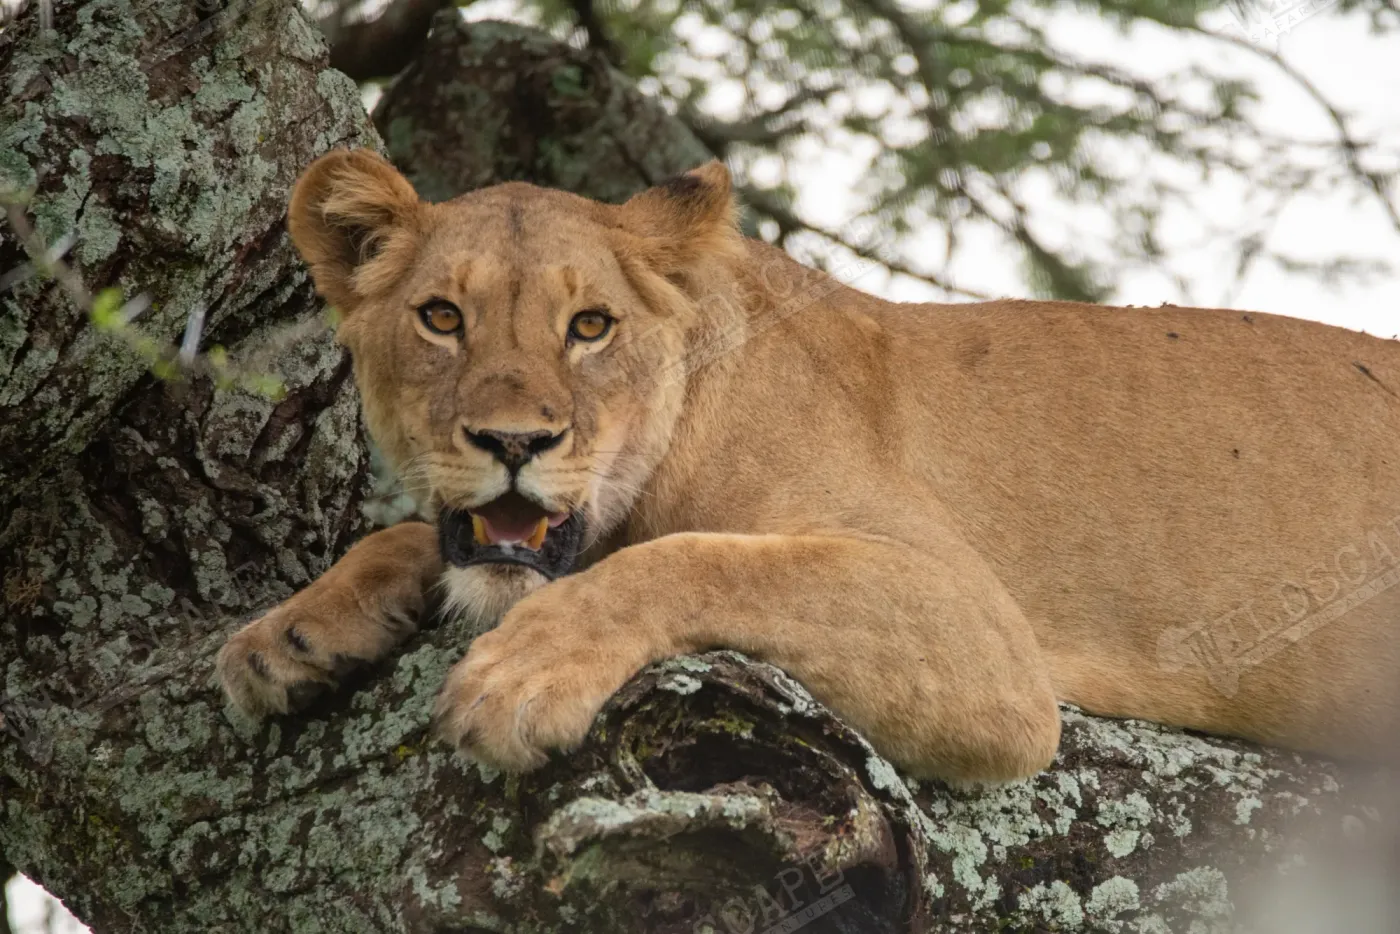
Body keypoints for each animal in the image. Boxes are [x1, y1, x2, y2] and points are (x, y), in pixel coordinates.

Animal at [217, 148, 1400, 783]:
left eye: (589, 326)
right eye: (441, 317)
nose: (515, 444)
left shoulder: (983, 642)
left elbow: (698, 559)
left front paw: (521, 675)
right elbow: (412, 537)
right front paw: (290, 633)